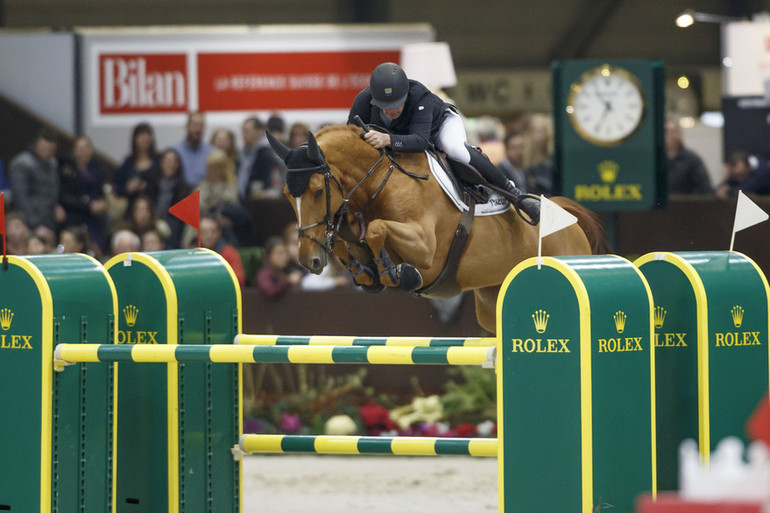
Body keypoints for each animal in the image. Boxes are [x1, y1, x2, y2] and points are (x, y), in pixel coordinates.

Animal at [268, 123, 604, 332]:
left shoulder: (426, 249)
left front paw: (397, 272)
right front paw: (367, 272)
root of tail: (569, 216)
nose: (308, 261)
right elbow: (352, 245)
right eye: (286, 194)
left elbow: (377, 229)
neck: (380, 183)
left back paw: (530, 206)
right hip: (491, 301)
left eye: (317, 192)